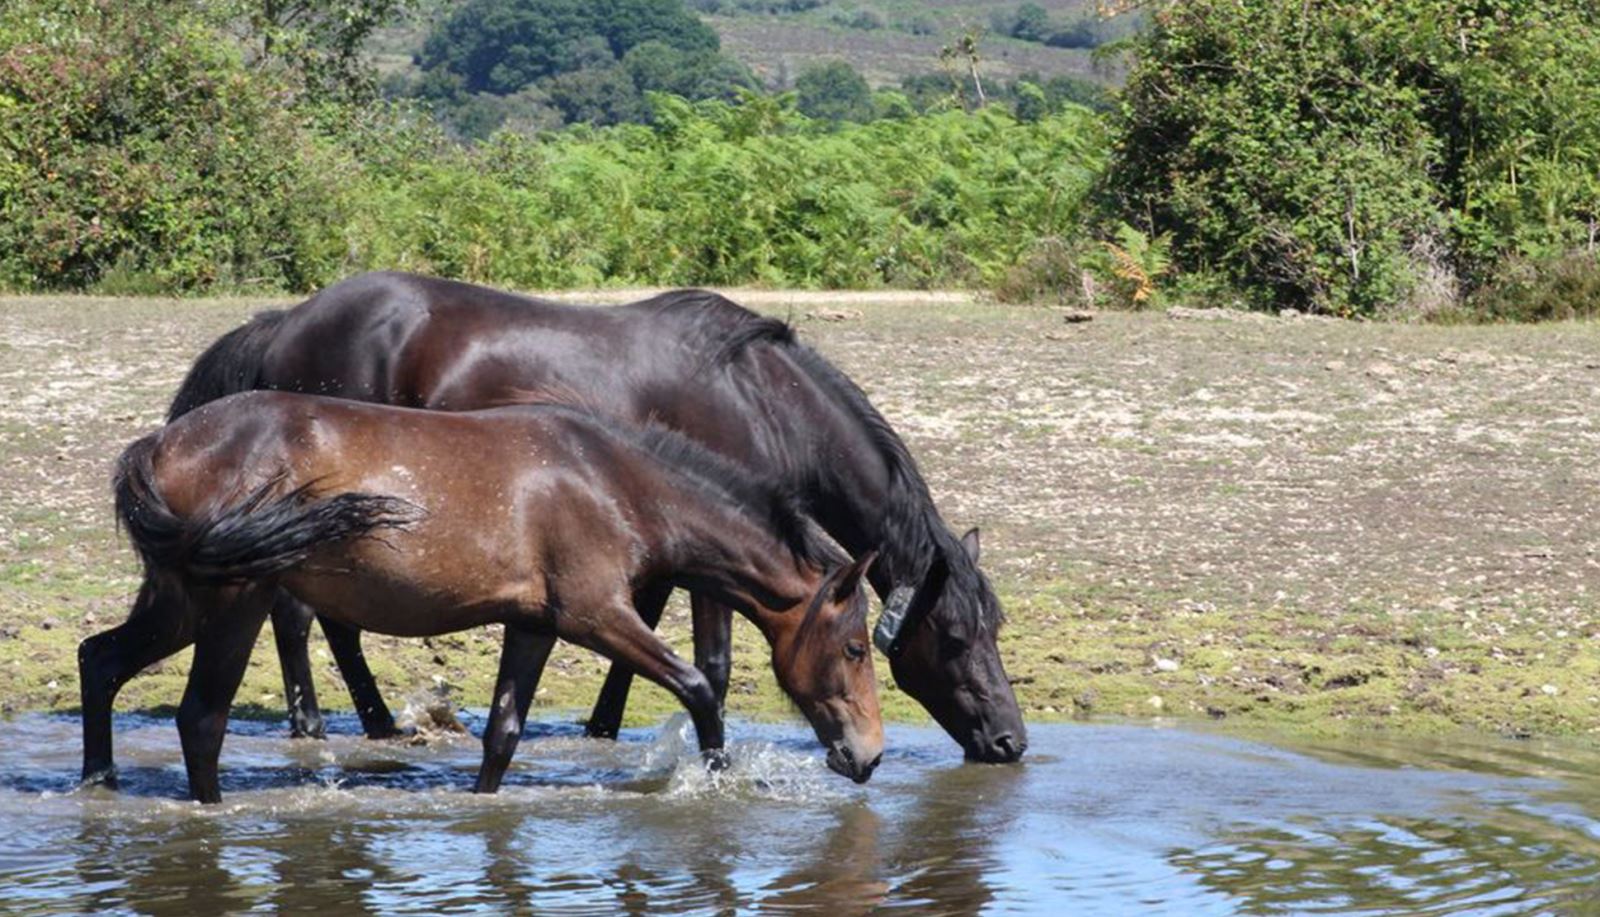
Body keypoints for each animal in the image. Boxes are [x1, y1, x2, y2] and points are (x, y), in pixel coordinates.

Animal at [81, 393, 889, 800]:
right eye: (854, 647)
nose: (869, 757)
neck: (614, 481)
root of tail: (157, 446)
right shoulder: (598, 616)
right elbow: (698, 686)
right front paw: (717, 781)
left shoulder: (535, 625)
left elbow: (502, 733)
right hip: (233, 603)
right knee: (200, 719)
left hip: (183, 603)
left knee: (101, 660)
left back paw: (98, 781)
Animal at [168, 270, 1030, 758]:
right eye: (955, 636)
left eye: (994, 630)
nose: (1010, 740)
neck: (760, 400)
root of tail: (287, 320)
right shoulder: (711, 559)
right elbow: (712, 662)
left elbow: (636, 626)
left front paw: (604, 725)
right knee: (300, 618)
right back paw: (325, 723)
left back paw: (374, 721)